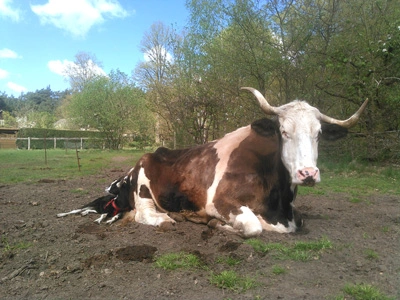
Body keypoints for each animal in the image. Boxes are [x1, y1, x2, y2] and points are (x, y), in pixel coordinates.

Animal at [122, 86, 368, 237]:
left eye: (318, 134)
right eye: (284, 132)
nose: (308, 173)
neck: (278, 204)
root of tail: (158, 150)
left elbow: (300, 221)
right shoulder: (220, 201)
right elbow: (253, 227)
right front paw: (215, 223)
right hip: (143, 185)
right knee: (144, 214)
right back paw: (167, 218)